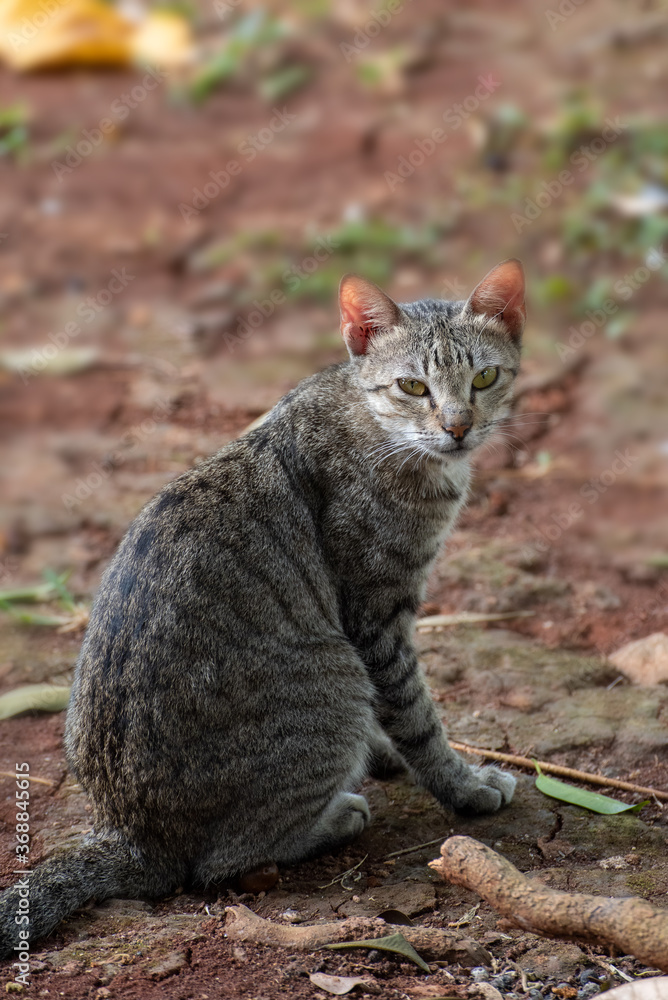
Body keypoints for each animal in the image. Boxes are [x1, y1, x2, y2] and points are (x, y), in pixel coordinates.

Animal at [0, 256, 524, 952]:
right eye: (413, 387)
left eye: (484, 377)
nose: (457, 427)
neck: (375, 424)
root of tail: (128, 836)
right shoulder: (375, 618)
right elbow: (417, 716)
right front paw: (462, 786)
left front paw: (386, 754)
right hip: (333, 674)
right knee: (221, 862)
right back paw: (336, 815)